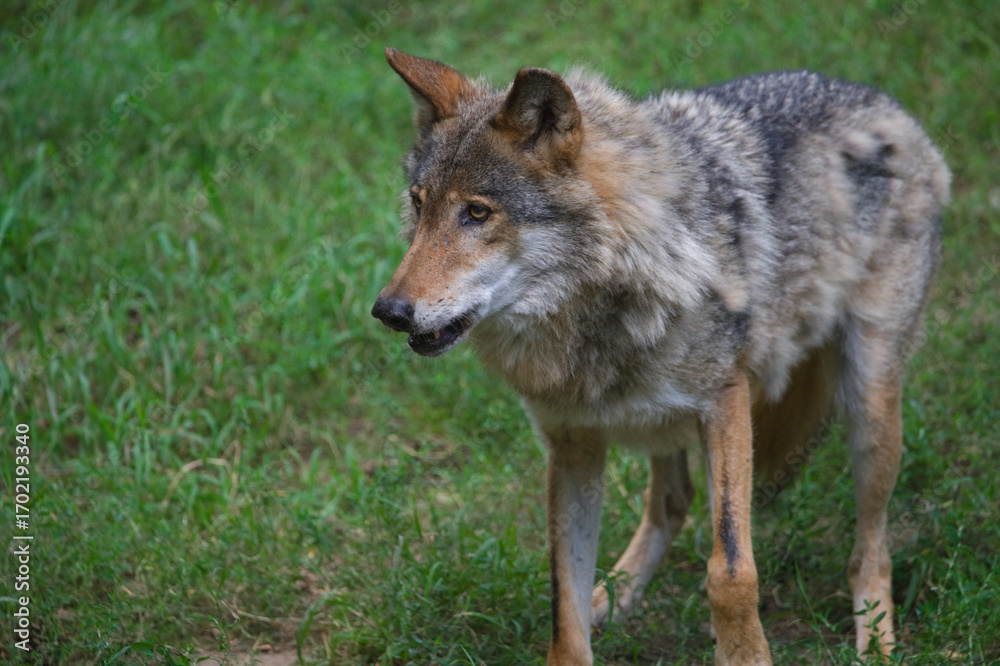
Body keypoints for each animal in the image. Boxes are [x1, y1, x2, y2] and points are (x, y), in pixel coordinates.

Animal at [371, 47, 949, 665]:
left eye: (477, 214)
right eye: (419, 205)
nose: (388, 310)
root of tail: (882, 102)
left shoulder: (725, 401)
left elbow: (730, 570)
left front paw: (744, 653)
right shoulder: (572, 445)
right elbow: (563, 599)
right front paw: (588, 613)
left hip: (869, 410)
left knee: (871, 547)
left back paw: (877, 639)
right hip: (663, 422)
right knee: (672, 500)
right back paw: (614, 596)